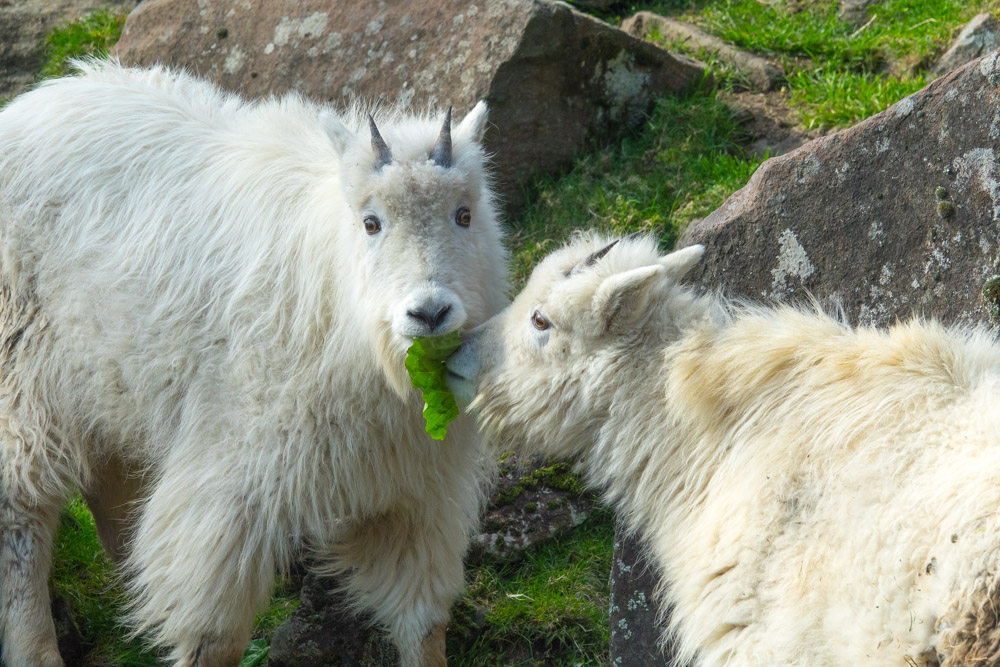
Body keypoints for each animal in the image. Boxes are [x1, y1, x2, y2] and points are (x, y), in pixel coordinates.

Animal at [0, 61, 508, 667]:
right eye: (371, 222)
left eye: (464, 214)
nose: (429, 312)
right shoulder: (233, 478)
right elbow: (214, 636)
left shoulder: (415, 492)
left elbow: (423, 622)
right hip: (21, 382)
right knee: (21, 514)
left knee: (107, 484)